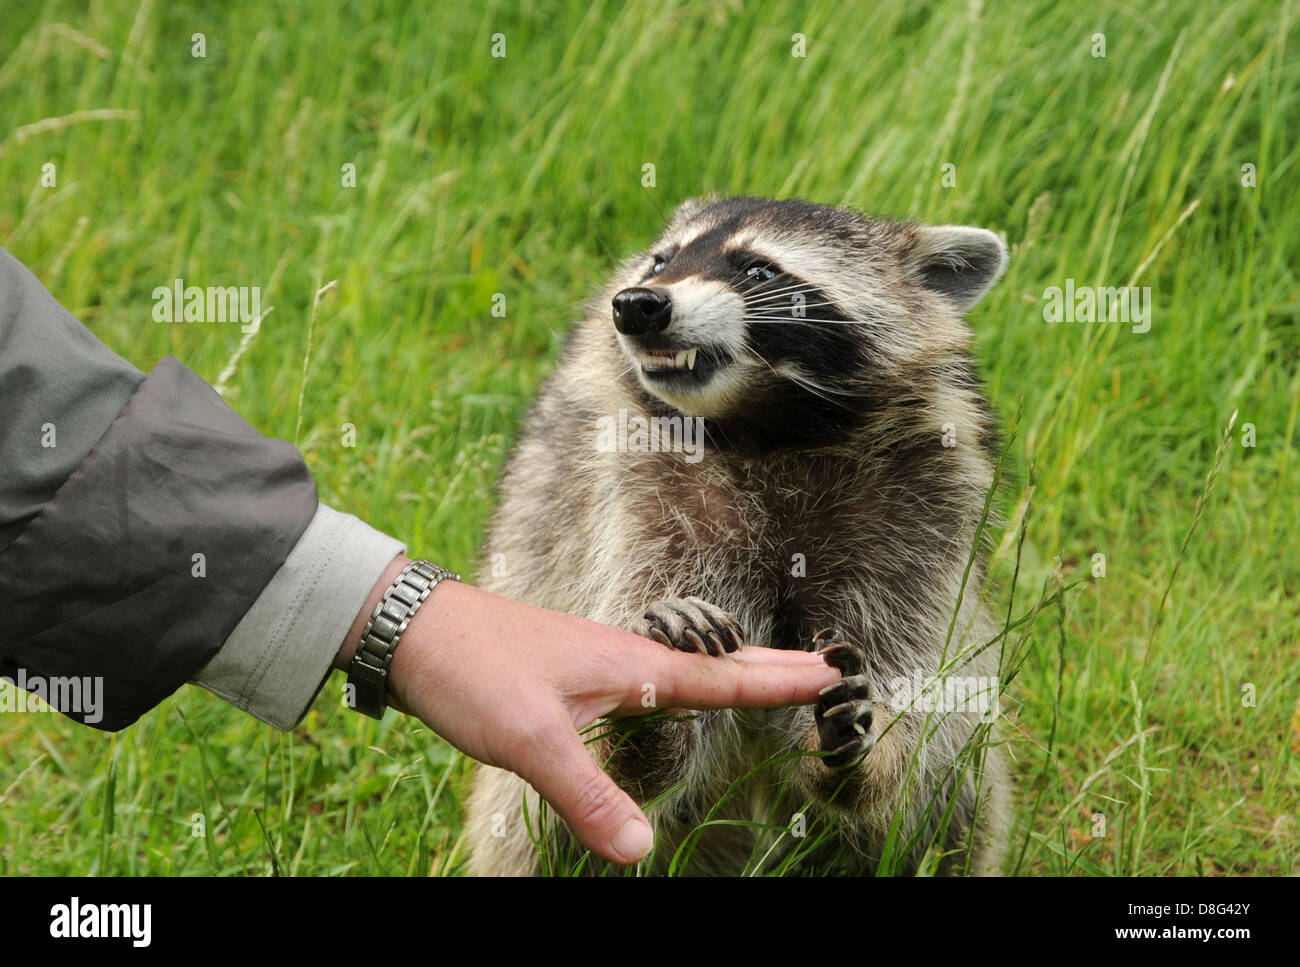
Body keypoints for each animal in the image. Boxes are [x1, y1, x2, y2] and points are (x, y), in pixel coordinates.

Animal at [467, 196, 1013, 878]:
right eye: (662, 260)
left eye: (758, 270)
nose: (636, 303)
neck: (764, 428)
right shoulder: (642, 492)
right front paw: (648, 718)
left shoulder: (917, 511)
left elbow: (914, 686)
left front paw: (865, 752)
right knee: (531, 824)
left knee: (962, 788)